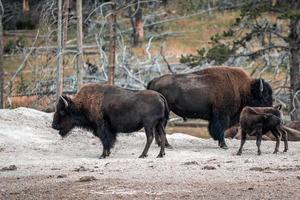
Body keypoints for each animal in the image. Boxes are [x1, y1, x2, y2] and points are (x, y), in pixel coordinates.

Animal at [146, 66, 274, 148]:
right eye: (264, 98)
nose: (271, 112)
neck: (243, 89)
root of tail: (154, 81)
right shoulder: (222, 115)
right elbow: (220, 129)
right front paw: (224, 145)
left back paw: (160, 144)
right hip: (166, 113)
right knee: (161, 128)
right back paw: (167, 145)